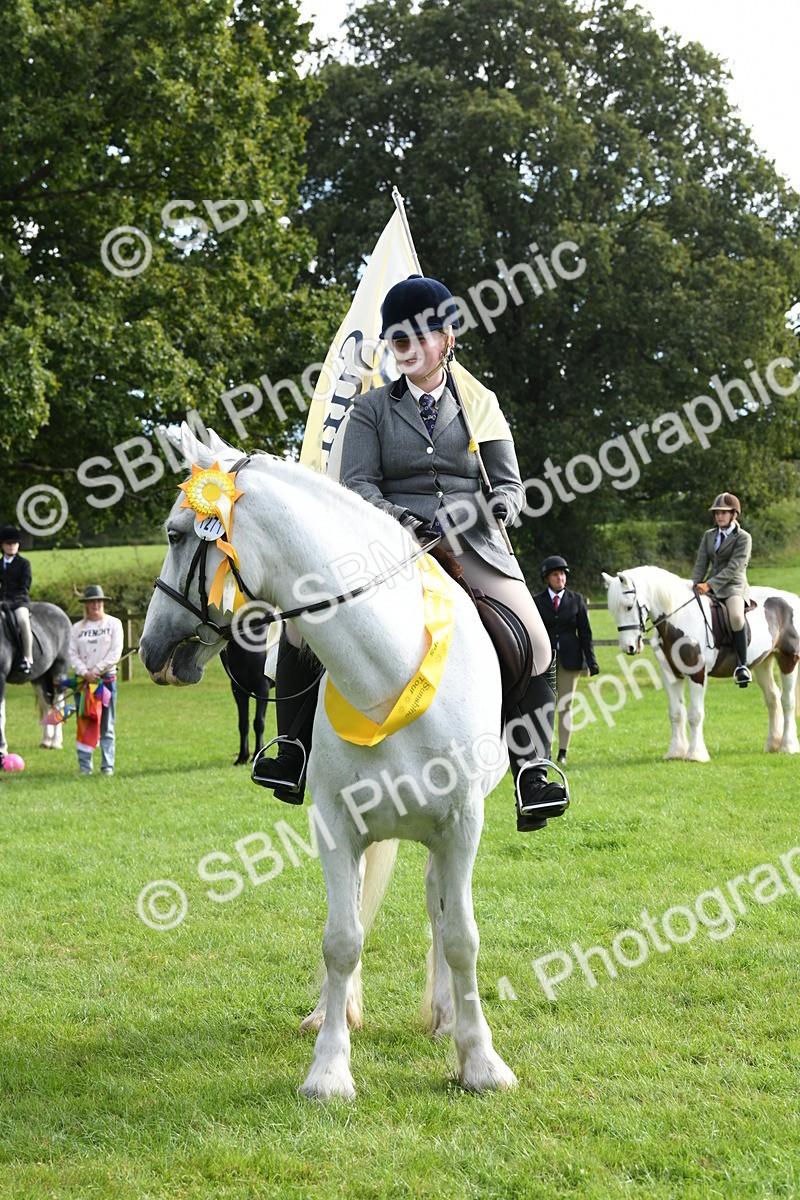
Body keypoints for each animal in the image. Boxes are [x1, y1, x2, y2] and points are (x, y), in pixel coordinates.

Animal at [0, 601, 72, 754]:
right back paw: (46, 741)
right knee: (46, 705)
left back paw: (55, 742)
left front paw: (2, 749)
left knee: (58, 703)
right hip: (39, 678)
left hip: (60, 670)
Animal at [140, 427, 517, 1100]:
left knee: (438, 908)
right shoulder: (338, 826)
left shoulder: (462, 825)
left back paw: (447, 1017)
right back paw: (332, 1012)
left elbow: (461, 937)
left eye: (177, 533)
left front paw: (481, 1062)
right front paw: (328, 1070)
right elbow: (342, 938)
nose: (150, 649)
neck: (386, 674)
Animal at [603, 567, 800, 761]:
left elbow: (695, 714)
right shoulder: (670, 674)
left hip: (788, 659)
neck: (680, 619)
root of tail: (792, 599)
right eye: (613, 611)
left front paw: (695, 754)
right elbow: (676, 712)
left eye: (628, 607)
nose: (628, 647)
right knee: (773, 698)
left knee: (787, 700)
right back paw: (772, 745)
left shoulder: (697, 674)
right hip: (763, 663)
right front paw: (675, 752)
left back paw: (788, 746)